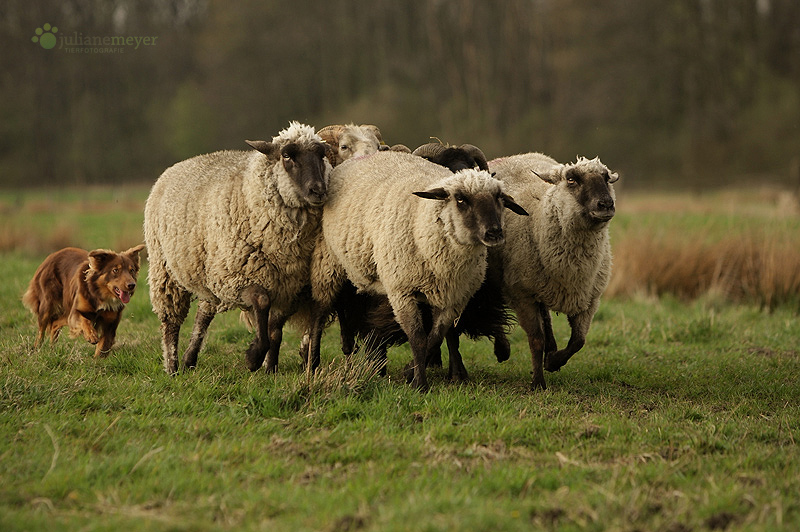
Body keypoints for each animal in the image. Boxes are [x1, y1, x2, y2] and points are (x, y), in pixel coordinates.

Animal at [144, 120, 332, 374]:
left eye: (322, 155)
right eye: (286, 156)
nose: (318, 191)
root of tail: (174, 167)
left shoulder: (289, 288)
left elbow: (274, 329)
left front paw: (270, 368)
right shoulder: (237, 277)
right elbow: (262, 303)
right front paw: (254, 357)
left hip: (210, 272)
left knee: (203, 314)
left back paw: (189, 359)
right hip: (166, 270)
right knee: (170, 323)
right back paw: (172, 367)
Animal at [488, 152, 620, 388]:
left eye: (606, 178)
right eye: (571, 180)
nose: (606, 204)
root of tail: (513, 156)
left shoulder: (589, 298)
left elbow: (578, 341)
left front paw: (554, 361)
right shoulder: (522, 295)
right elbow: (536, 340)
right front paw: (538, 382)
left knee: (546, 318)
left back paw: (550, 350)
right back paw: (502, 349)